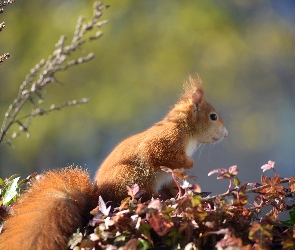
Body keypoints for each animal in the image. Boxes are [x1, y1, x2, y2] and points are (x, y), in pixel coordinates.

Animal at [0, 75, 229, 249]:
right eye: (213, 116)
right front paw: (189, 164)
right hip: (134, 180)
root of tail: (98, 199)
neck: (186, 131)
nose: (226, 134)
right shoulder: (165, 140)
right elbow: (156, 154)